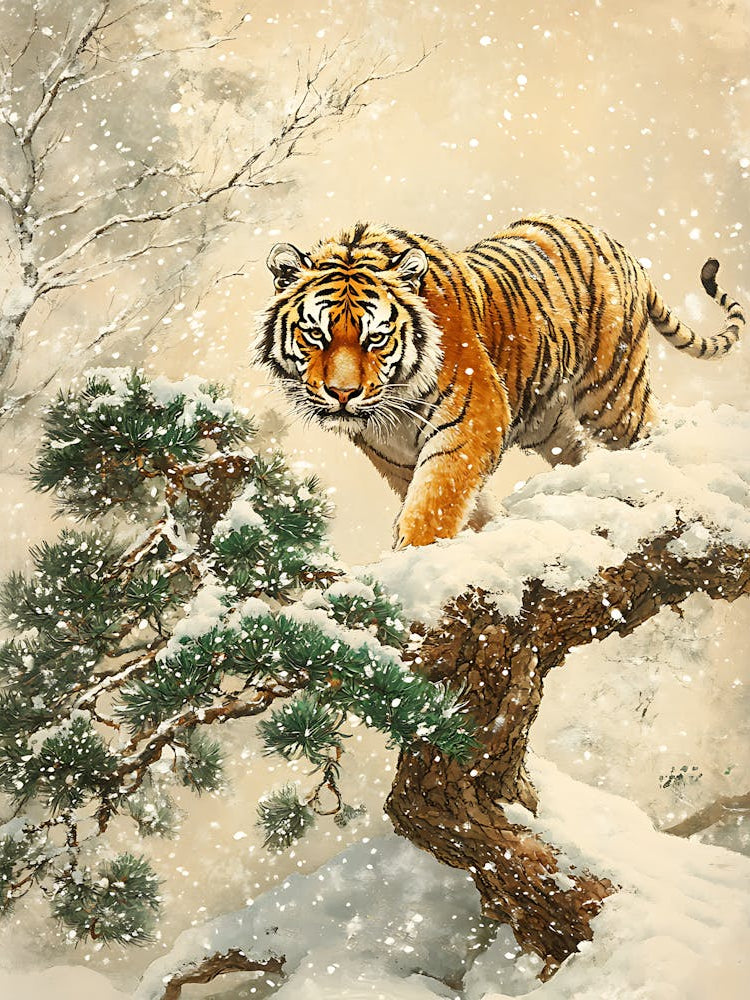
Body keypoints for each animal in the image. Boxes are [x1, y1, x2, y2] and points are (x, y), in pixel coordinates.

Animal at [255, 215, 745, 549]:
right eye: (315, 333)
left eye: (375, 337)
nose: (342, 394)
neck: (391, 411)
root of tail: (619, 246)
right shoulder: (392, 456)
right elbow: (465, 504)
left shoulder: (473, 420)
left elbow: (435, 500)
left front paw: (413, 557)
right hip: (548, 421)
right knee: (579, 452)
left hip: (611, 395)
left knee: (648, 433)